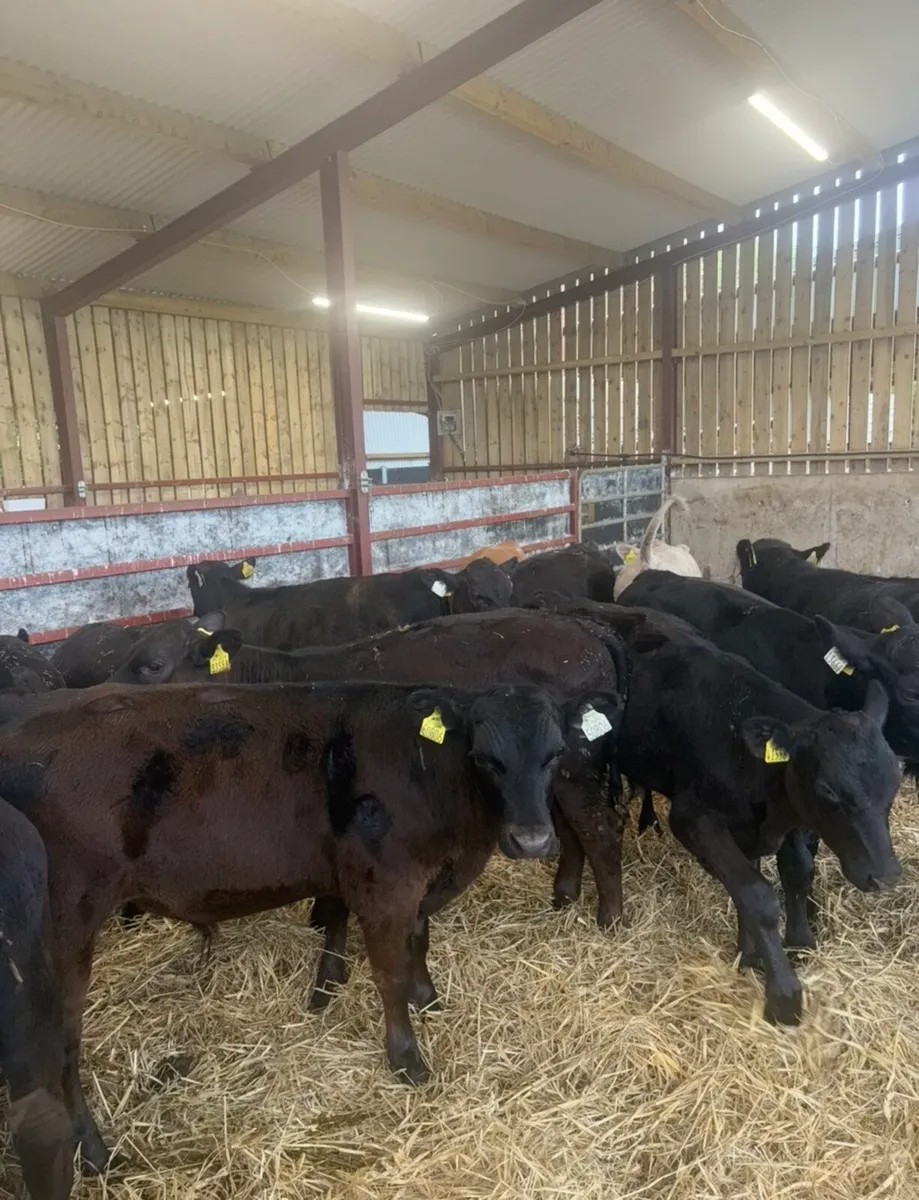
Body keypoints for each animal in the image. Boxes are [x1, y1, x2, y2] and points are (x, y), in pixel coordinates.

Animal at [0, 677, 620, 1170]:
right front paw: (407, 1059)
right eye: (486, 758)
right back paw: (94, 1154)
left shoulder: (408, 884)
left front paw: (425, 997)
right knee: (60, 1052)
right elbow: (388, 972)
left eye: (555, 754)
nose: (532, 839)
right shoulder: (385, 884)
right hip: (65, 931)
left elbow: (417, 940)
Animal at [109, 609, 629, 934]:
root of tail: (584, 629)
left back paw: (610, 918)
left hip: (576, 765)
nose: (105, 695)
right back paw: (564, 896)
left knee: (599, 828)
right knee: (570, 829)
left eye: (152, 665)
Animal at [530, 598, 902, 1027]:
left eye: (895, 781)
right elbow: (756, 893)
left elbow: (793, 872)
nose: (885, 875)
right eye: (827, 788)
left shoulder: (780, 815)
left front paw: (782, 946)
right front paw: (783, 994)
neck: (734, 734)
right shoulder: (693, 817)